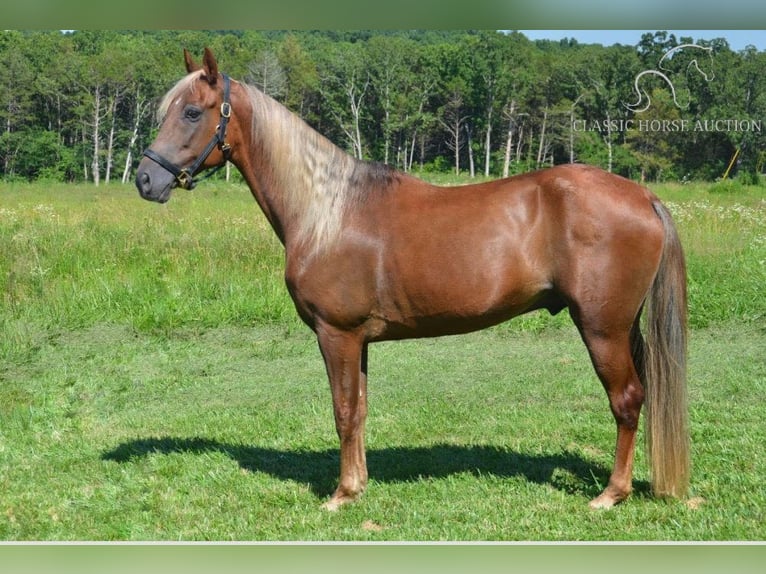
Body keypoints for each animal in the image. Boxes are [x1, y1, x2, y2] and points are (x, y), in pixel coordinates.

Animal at [135, 47, 692, 510]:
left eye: (192, 112)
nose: (146, 179)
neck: (327, 211)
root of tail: (643, 196)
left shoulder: (336, 334)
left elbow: (342, 410)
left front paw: (339, 495)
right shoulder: (358, 341)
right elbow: (358, 410)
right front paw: (357, 486)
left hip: (601, 328)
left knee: (626, 400)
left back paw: (610, 495)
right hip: (624, 328)